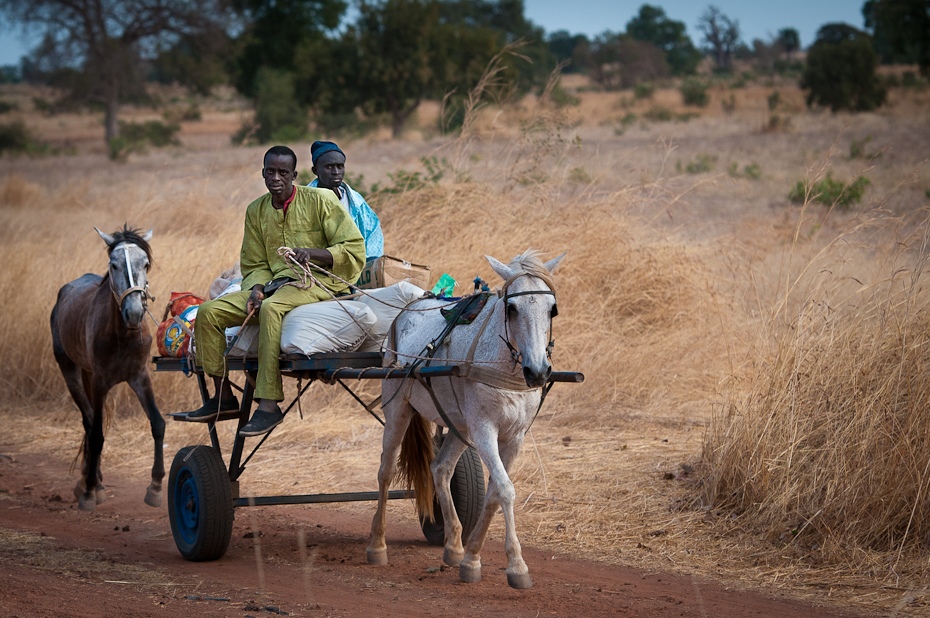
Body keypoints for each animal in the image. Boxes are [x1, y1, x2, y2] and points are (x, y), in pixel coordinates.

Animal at [49, 226, 165, 510]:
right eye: (113, 265)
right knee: (89, 422)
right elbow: (97, 434)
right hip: (70, 370)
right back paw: (92, 483)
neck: (122, 334)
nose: (134, 313)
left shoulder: (139, 377)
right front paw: (90, 491)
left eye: (145, 264)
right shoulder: (101, 382)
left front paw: (155, 487)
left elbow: (157, 424)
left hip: (87, 374)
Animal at [366, 249, 560, 588]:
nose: (538, 371)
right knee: (385, 472)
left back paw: (454, 544)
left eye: (552, 310)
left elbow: (494, 492)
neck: (503, 367)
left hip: (457, 424)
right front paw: (517, 566)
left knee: (440, 469)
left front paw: (471, 558)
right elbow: (506, 489)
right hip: (398, 407)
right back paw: (377, 544)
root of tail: (408, 309)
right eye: (511, 308)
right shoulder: (484, 430)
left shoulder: (515, 437)